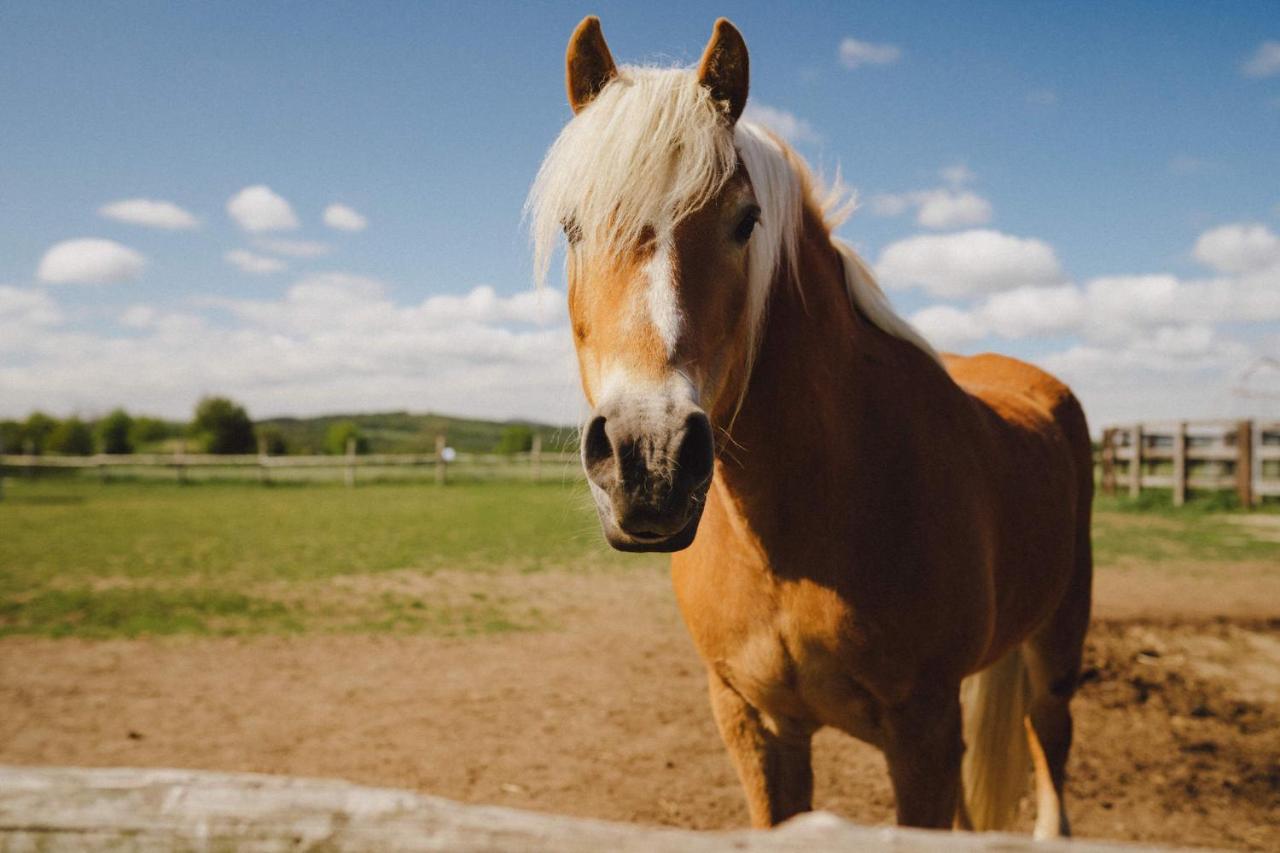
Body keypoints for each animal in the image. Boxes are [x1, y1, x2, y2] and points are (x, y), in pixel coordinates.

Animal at [524, 16, 1095, 835]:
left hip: (1057, 650)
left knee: (1050, 744)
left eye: (744, 221)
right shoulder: (753, 723)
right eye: (572, 228)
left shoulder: (923, 732)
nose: (650, 460)